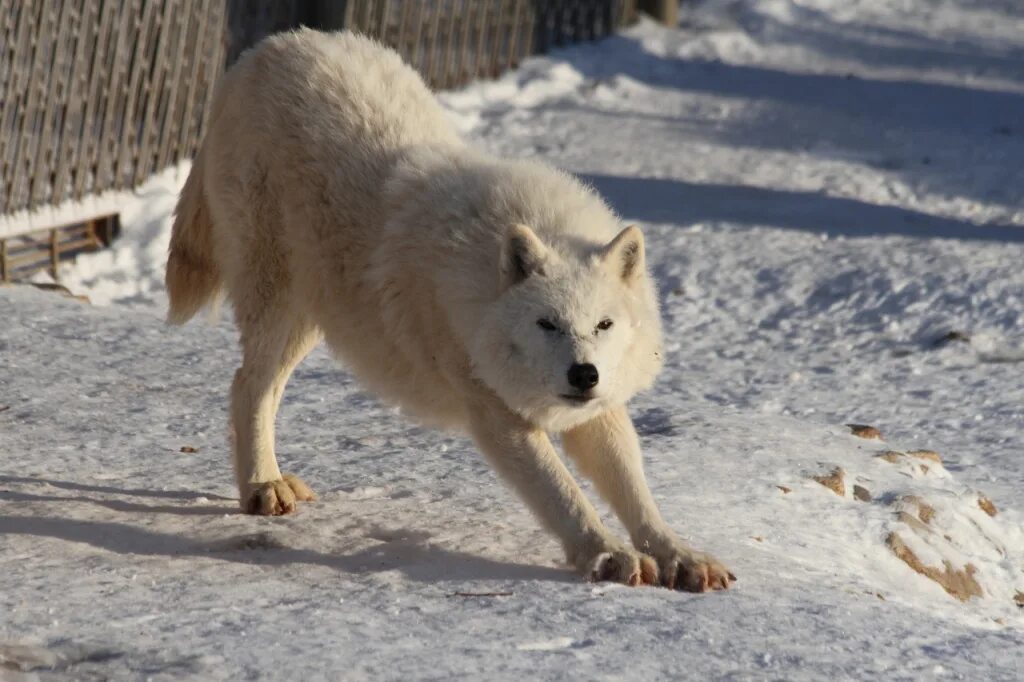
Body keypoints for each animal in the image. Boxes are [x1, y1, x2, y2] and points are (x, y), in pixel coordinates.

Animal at [165, 27, 737, 589]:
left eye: (604, 324)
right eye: (546, 324)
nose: (584, 375)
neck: (480, 286)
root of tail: (264, 51)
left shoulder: (598, 410)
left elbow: (634, 490)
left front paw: (680, 556)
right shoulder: (496, 415)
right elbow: (562, 491)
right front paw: (607, 554)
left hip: (312, 317)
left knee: (260, 386)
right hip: (281, 304)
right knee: (248, 385)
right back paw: (262, 487)